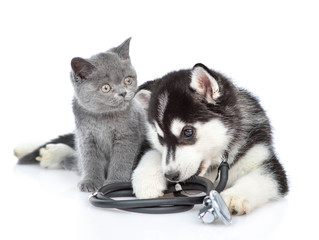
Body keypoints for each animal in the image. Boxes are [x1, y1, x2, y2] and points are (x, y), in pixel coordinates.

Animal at [70, 38, 147, 192]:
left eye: (127, 80)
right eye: (105, 88)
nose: (123, 93)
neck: (103, 118)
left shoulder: (127, 136)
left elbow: (121, 161)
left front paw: (115, 182)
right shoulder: (86, 138)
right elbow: (90, 161)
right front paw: (90, 181)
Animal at [132, 62, 290, 215]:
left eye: (187, 132)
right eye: (160, 137)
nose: (171, 175)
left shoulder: (265, 157)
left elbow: (259, 177)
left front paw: (233, 196)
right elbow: (152, 153)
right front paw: (147, 180)